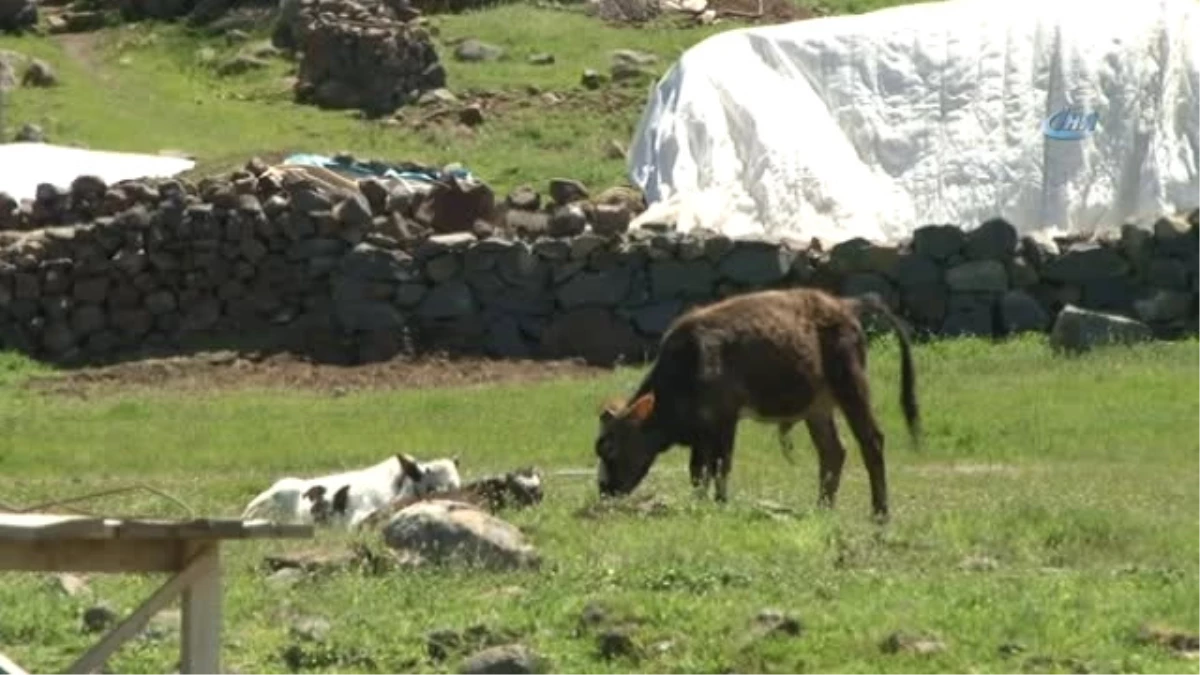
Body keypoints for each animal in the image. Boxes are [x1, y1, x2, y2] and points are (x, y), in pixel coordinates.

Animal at [590, 284, 916, 521]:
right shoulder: (702, 432)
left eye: (610, 448)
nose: (604, 489)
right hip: (817, 408)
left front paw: (720, 504)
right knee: (833, 451)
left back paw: (879, 513)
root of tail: (844, 305)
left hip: (851, 388)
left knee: (871, 440)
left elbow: (720, 465)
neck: (690, 361)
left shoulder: (725, 419)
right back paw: (822, 508)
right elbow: (698, 470)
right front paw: (698, 503)